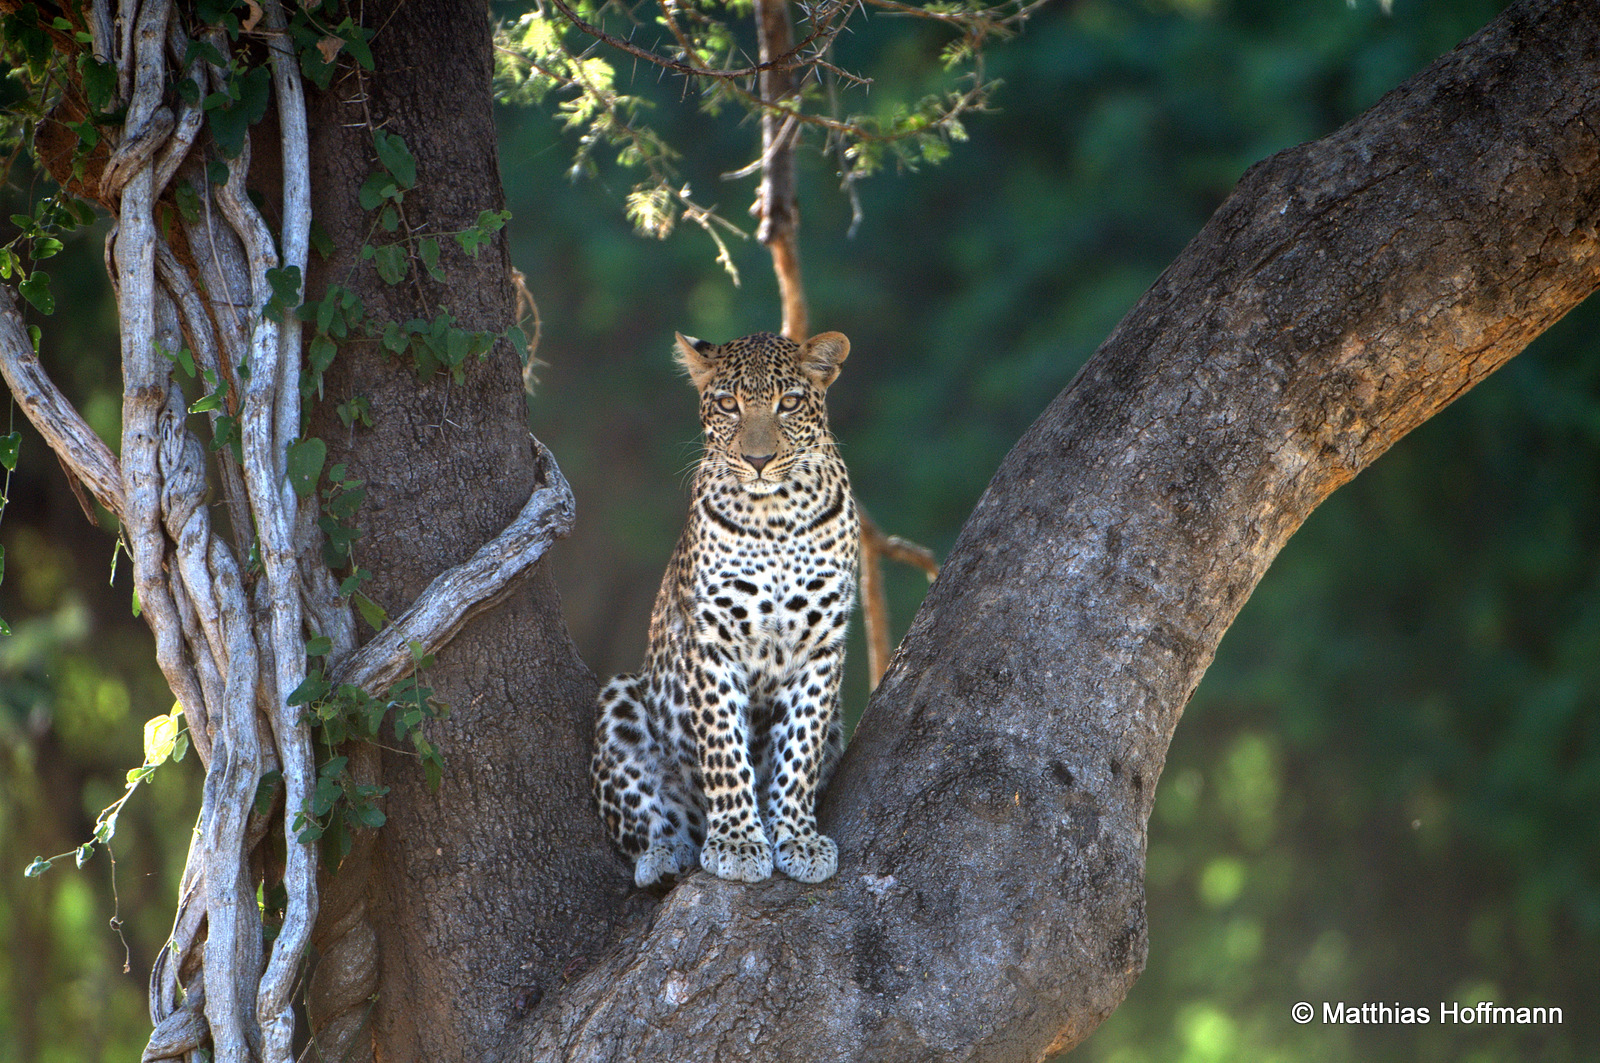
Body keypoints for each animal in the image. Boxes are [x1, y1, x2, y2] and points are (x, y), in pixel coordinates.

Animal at [592, 328, 864, 883]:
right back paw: (666, 854)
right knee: (654, 822)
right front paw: (738, 841)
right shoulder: (711, 641)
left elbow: (800, 749)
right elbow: (722, 746)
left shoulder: (822, 644)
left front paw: (798, 838)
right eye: (727, 405)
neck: (777, 517)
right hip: (622, 698)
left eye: (789, 404)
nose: (758, 462)